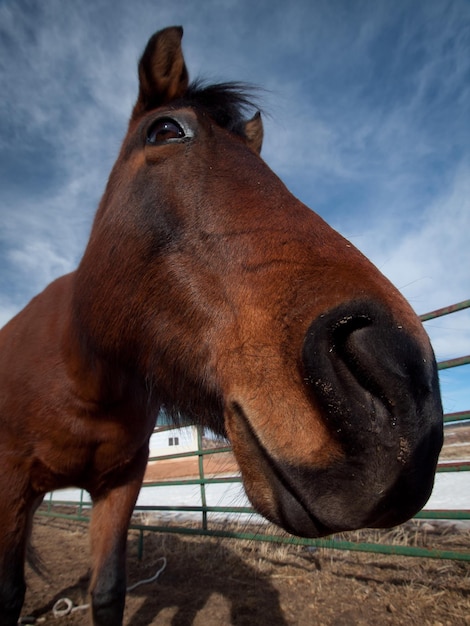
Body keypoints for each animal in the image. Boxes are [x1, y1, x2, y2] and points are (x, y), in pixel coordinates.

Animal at [0, 25, 442, 624]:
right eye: (165, 130)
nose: (399, 383)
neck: (84, 378)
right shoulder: (10, 482)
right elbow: (9, 593)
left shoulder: (120, 485)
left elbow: (108, 589)